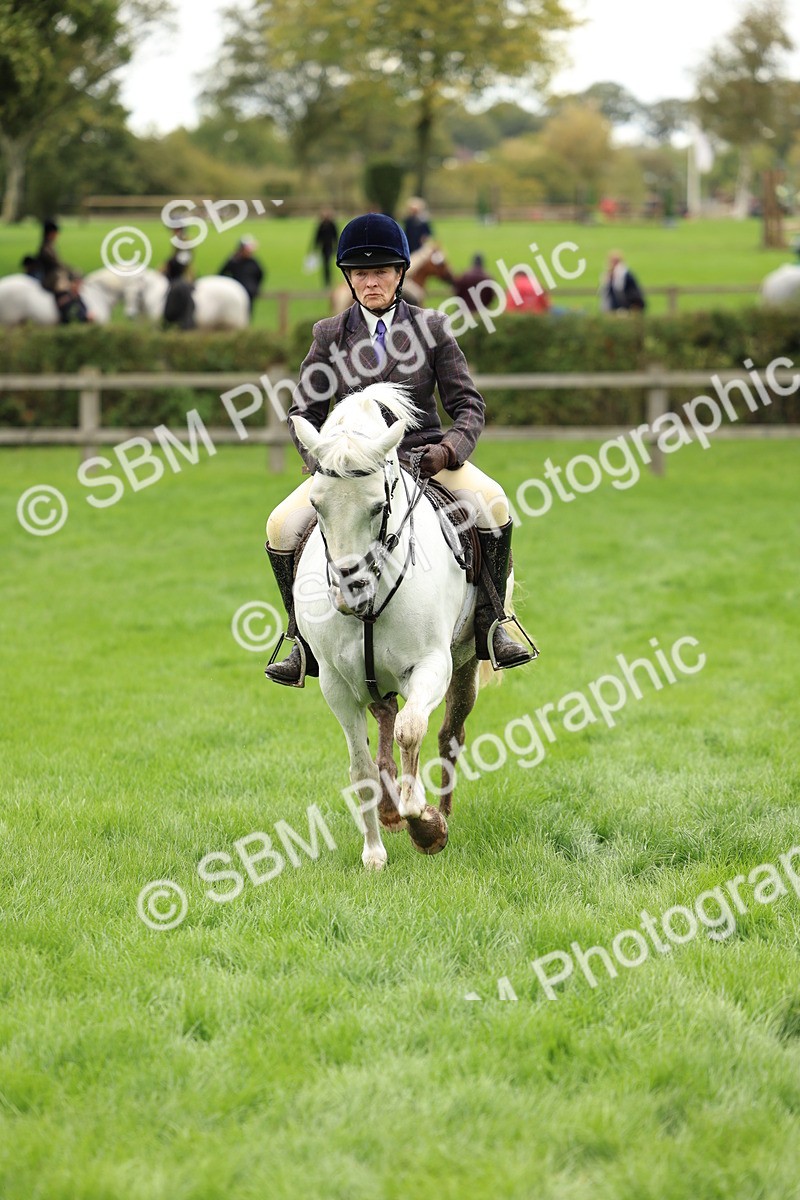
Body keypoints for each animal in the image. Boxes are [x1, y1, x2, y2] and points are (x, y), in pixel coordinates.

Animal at [290, 382, 497, 871]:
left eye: (378, 506)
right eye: (316, 504)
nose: (350, 590)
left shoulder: (431, 666)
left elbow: (411, 730)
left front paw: (425, 825)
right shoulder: (335, 683)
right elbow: (362, 767)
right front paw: (373, 853)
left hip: (464, 663)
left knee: (448, 734)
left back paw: (439, 813)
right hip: (369, 680)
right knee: (384, 722)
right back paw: (387, 813)